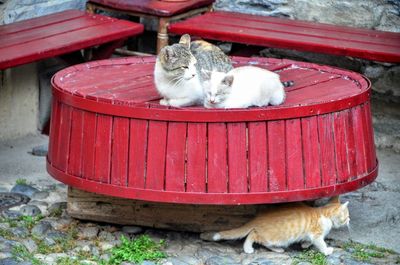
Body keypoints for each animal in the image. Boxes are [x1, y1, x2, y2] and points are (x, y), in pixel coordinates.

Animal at [202, 196, 348, 254]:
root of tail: (258, 218)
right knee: (253, 235)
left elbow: (309, 240)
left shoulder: (311, 234)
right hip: (277, 237)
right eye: (346, 217)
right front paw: (327, 250)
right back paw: (248, 248)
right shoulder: (316, 233)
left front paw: (305, 244)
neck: (325, 214)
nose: (349, 219)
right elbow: (320, 242)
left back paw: (277, 250)